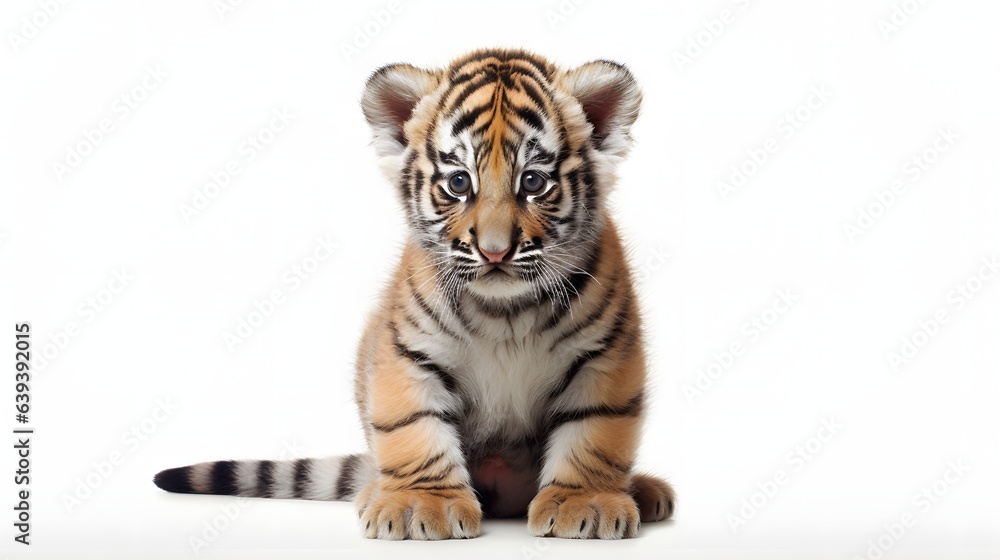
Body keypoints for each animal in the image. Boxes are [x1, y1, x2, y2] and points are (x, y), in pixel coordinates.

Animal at [154, 48, 675, 540]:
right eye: (459, 182)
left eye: (533, 182)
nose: (495, 250)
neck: (506, 310)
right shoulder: (408, 352)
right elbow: (412, 428)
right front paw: (420, 506)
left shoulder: (603, 357)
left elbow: (595, 433)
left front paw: (585, 503)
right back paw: (374, 493)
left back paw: (646, 492)